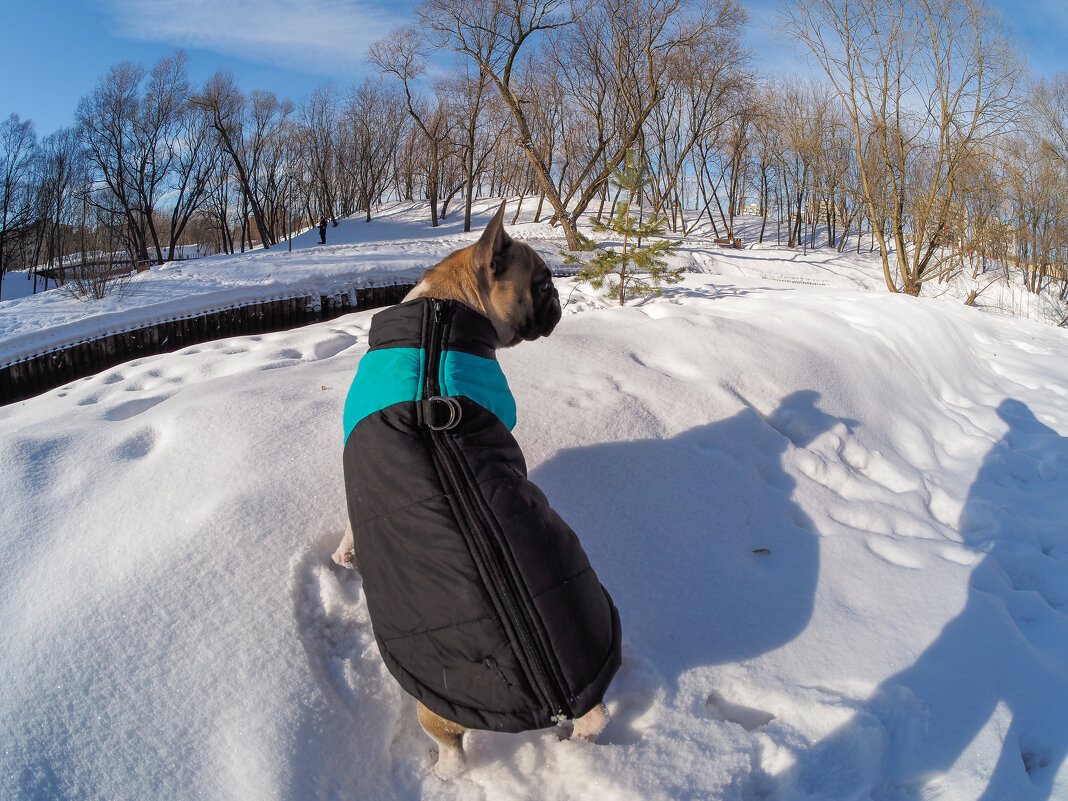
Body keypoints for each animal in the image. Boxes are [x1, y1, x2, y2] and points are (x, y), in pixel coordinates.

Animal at [331, 201, 619, 786]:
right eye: (541, 284)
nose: (557, 301)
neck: (440, 322)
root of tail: (560, 700)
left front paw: (345, 554)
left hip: (436, 709)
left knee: (453, 749)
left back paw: (440, 776)